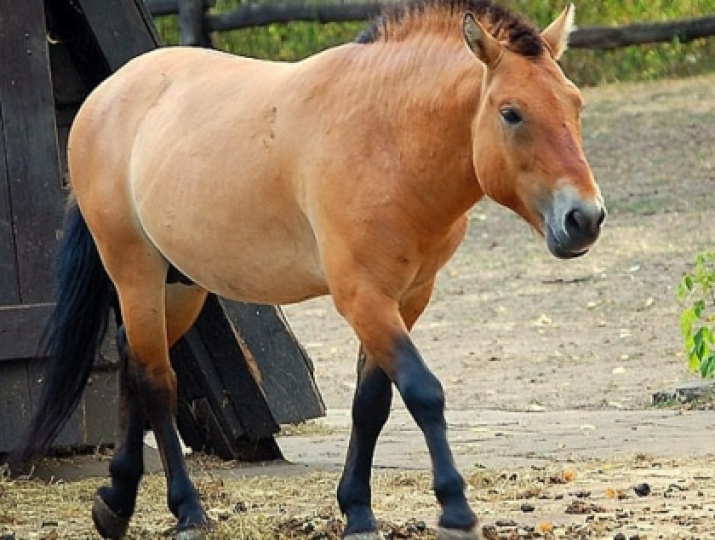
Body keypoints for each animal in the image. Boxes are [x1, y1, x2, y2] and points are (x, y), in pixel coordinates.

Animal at [8, 0, 608, 536]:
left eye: (576, 105)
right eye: (511, 112)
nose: (585, 218)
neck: (386, 137)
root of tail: (104, 97)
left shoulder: (407, 297)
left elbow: (372, 404)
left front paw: (359, 512)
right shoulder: (363, 296)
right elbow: (422, 391)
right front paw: (456, 510)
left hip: (181, 285)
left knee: (134, 362)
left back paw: (116, 502)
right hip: (135, 271)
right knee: (157, 380)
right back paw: (188, 512)